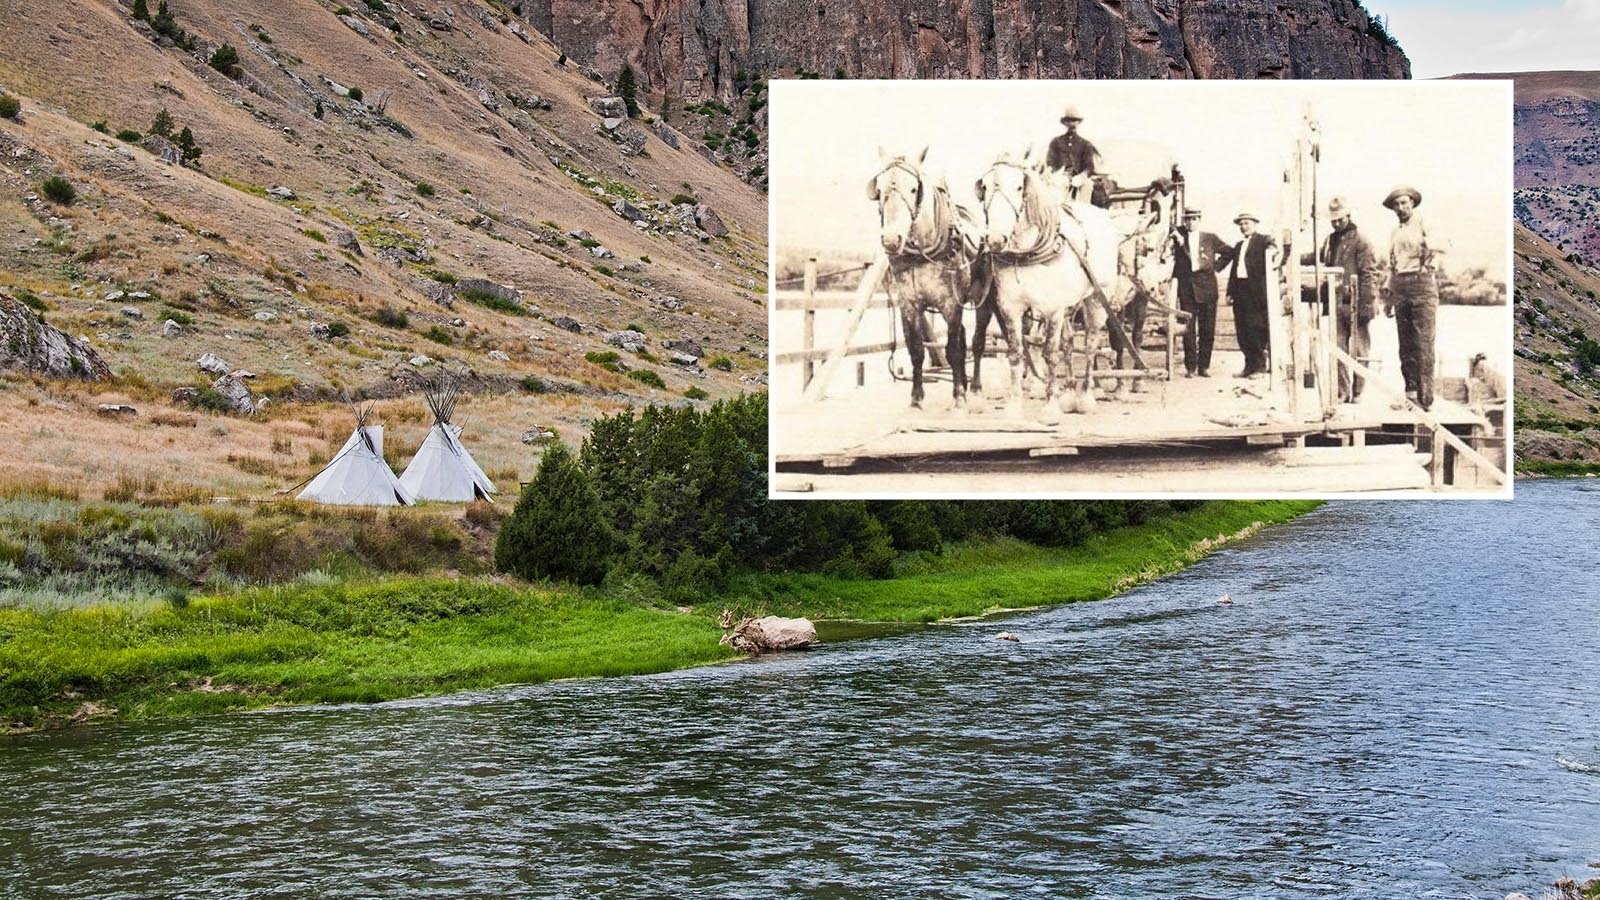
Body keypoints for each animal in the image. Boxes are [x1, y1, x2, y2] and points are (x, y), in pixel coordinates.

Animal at [966, 152, 1120, 419]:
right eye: (984, 187)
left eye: (1019, 187)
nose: (995, 239)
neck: (1026, 253)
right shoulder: (1011, 308)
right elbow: (1016, 352)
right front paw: (1014, 407)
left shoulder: (1053, 309)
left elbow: (1050, 353)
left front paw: (1050, 408)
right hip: (1071, 305)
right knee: (1069, 342)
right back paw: (1069, 393)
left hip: (1096, 301)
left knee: (1090, 344)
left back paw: (1086, 396)